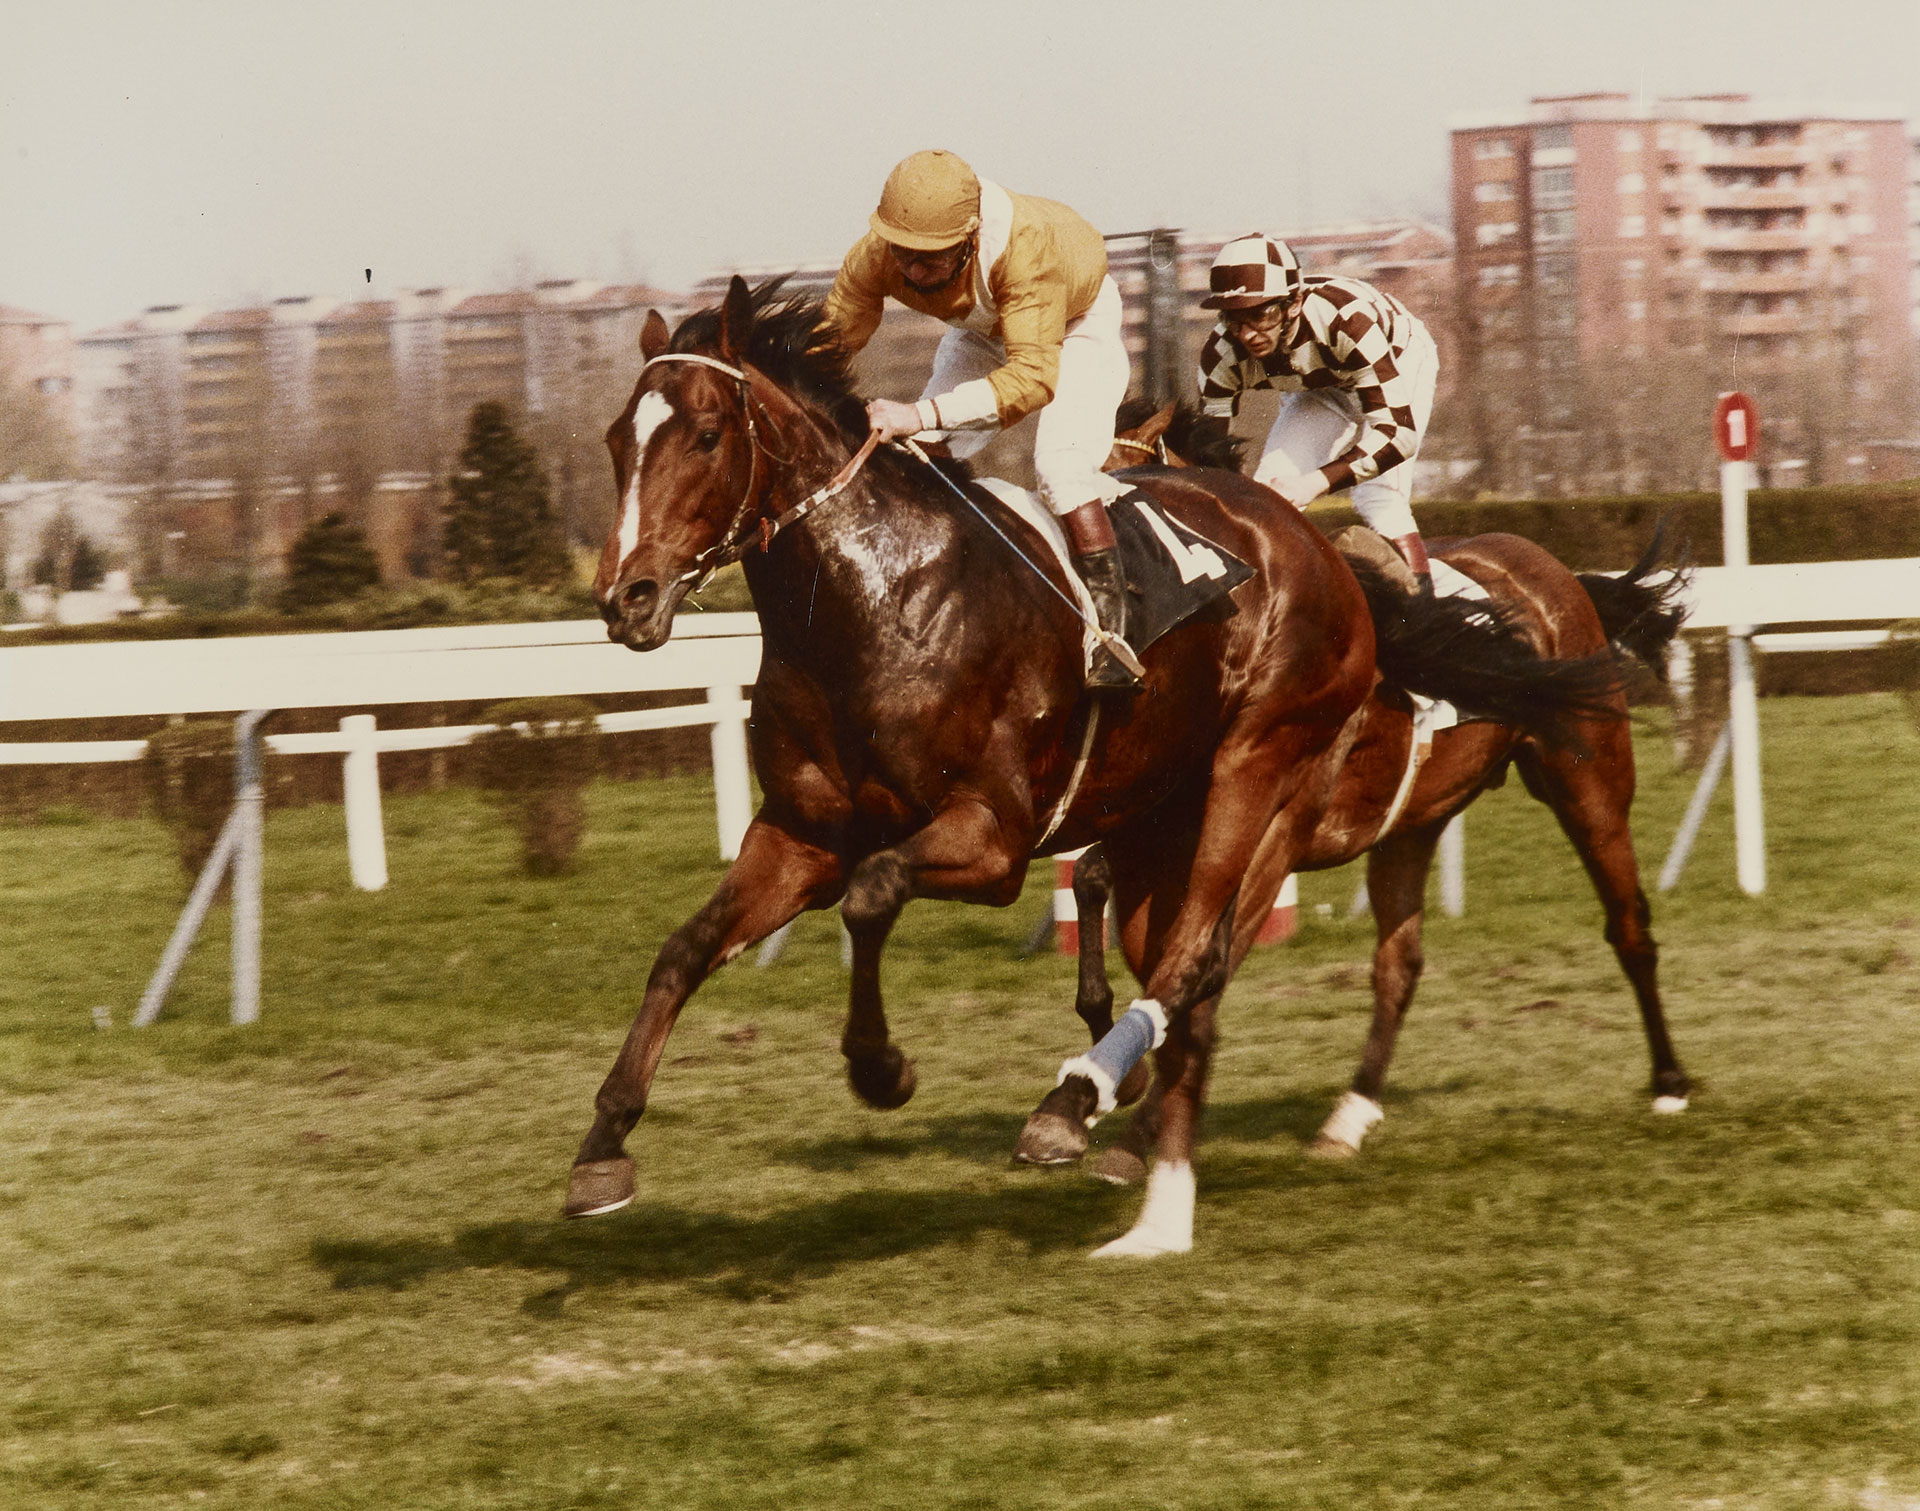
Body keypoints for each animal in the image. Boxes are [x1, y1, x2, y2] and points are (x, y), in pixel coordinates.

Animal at [564, 280, 1382, 1251]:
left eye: (704, 433)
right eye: (616, 438)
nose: (627, 597)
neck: (871, 606)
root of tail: (1312, 542)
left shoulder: (994, 837)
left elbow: (873, 892)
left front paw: (881, 1066)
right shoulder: (801, 832)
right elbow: (685, 948)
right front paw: (603, 1144)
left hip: (1260, 764)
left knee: (1192, 958)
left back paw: (1073, 1105)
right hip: (1159, 817)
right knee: (1184, 969)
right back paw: (1127, 1117)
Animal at [1044, 401, 1689, 1205]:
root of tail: (1553, 571)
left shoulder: (1272, 832)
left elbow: (1205, 963)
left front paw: (1132, 1128)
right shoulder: (1163, 826)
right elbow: (1097, 884)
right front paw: (1115, 1069)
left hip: (1586, 780)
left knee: (1628, 922)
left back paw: (1670, 1082)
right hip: (1413, 821)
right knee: (1399, 963)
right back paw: (1347, 1117)